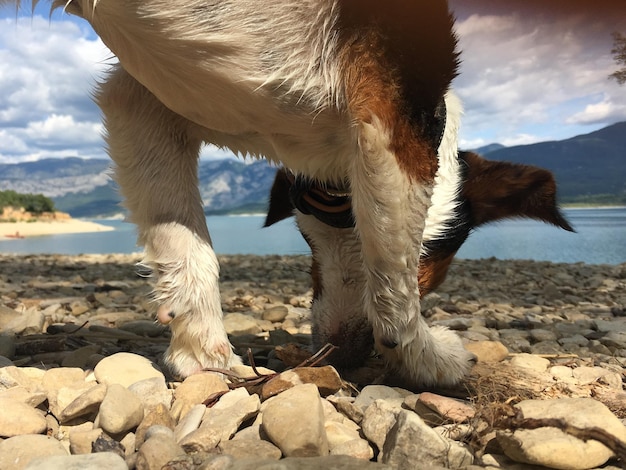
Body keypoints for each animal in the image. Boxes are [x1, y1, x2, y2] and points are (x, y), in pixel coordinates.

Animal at [8, 0, 528, 386]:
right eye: (434, 266)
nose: (344, 355)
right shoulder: (394, 111)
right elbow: (393, 280)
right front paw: (426, 358)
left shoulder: (143, 102)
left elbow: (186, 253)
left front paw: (206, 359)